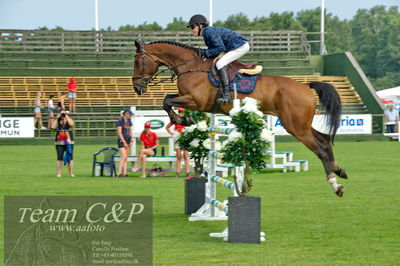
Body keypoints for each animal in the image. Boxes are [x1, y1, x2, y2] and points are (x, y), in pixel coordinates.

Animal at [131, 40, 346, 196]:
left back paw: (336, 185)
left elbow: (167, 101)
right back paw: (339, 170)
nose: (137, 87)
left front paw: (184, 121)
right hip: (301, 125)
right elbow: (167, 100)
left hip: (296, 127)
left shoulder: (195, 101)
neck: (192, 66)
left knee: (320, 149)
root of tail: (306, 86)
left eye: (138, 62)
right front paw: (184, 120)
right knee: (325, 140)